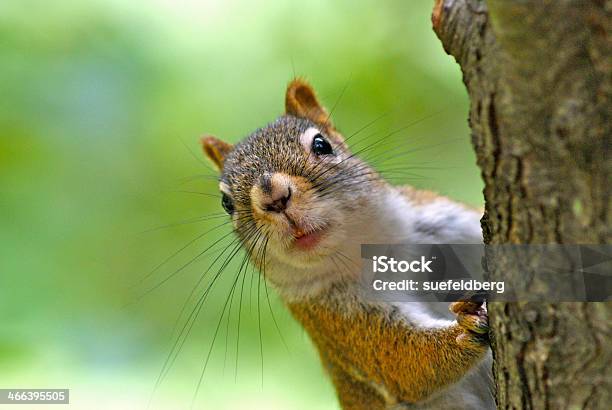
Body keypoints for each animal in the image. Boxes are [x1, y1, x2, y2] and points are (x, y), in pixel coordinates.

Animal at [201, 78, 498, 408]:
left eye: (322, 145)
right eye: (226, 202)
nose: (274, 198)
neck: (377, 251)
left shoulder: (443, 220)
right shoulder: (336, 319)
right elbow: (403, 359)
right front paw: (466, 328)